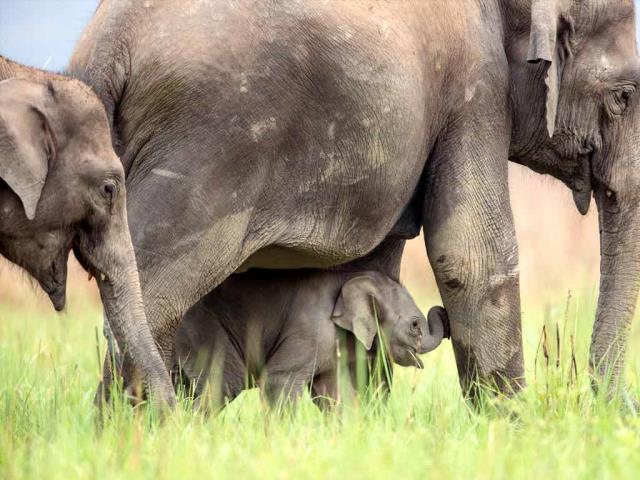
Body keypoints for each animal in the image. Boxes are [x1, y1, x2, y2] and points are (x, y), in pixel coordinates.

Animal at [175, 268, 449, 409]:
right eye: (415, 325)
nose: (442, 311)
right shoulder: (311, 331)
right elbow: (279, 381)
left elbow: (334, 392)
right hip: (200, 329)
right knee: (223, 384)